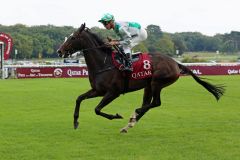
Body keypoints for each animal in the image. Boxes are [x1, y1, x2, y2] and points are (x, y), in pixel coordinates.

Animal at [56, 22, 225, 132]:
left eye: (72, 38)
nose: (59, 51)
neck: (104, 64)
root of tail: (176, 63)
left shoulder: (113, 92)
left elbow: (97, 109)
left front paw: (116, 116)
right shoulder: (98, 91)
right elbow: (79, 98)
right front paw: (75, 121)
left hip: (157, 82)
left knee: (155, 103)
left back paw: (133, 115)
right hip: (148, 86)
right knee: (148, 104)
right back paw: (129, 124)